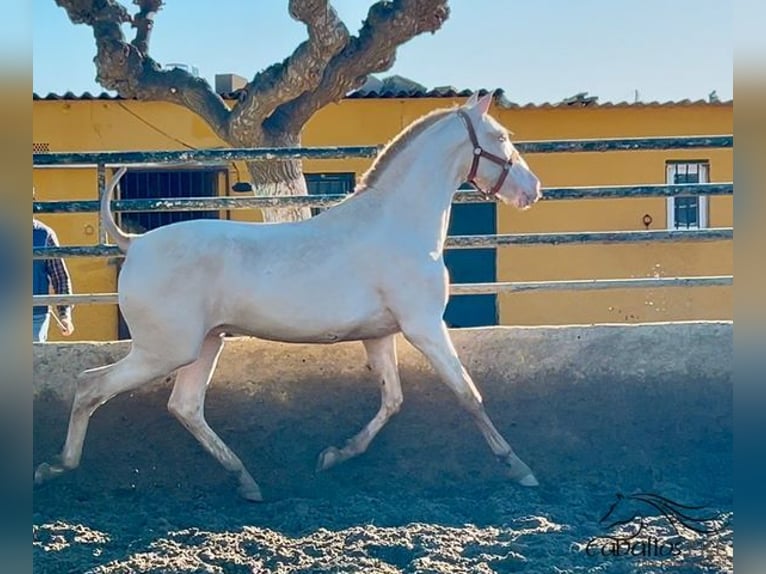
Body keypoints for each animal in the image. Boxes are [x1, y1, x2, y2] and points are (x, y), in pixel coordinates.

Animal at [33, 92, 544, 502]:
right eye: (500, 137)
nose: (533, 189)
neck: (397, 224)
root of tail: (133, 243)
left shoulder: (381, 335)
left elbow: (392, 400)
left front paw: (335, 455)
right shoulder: (425, 327)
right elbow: (467, 394)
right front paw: (519, 468)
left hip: (204, 345)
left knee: (184, 406)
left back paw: (247, 482)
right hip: (165, 350)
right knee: (91, 386)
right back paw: (55, 466)